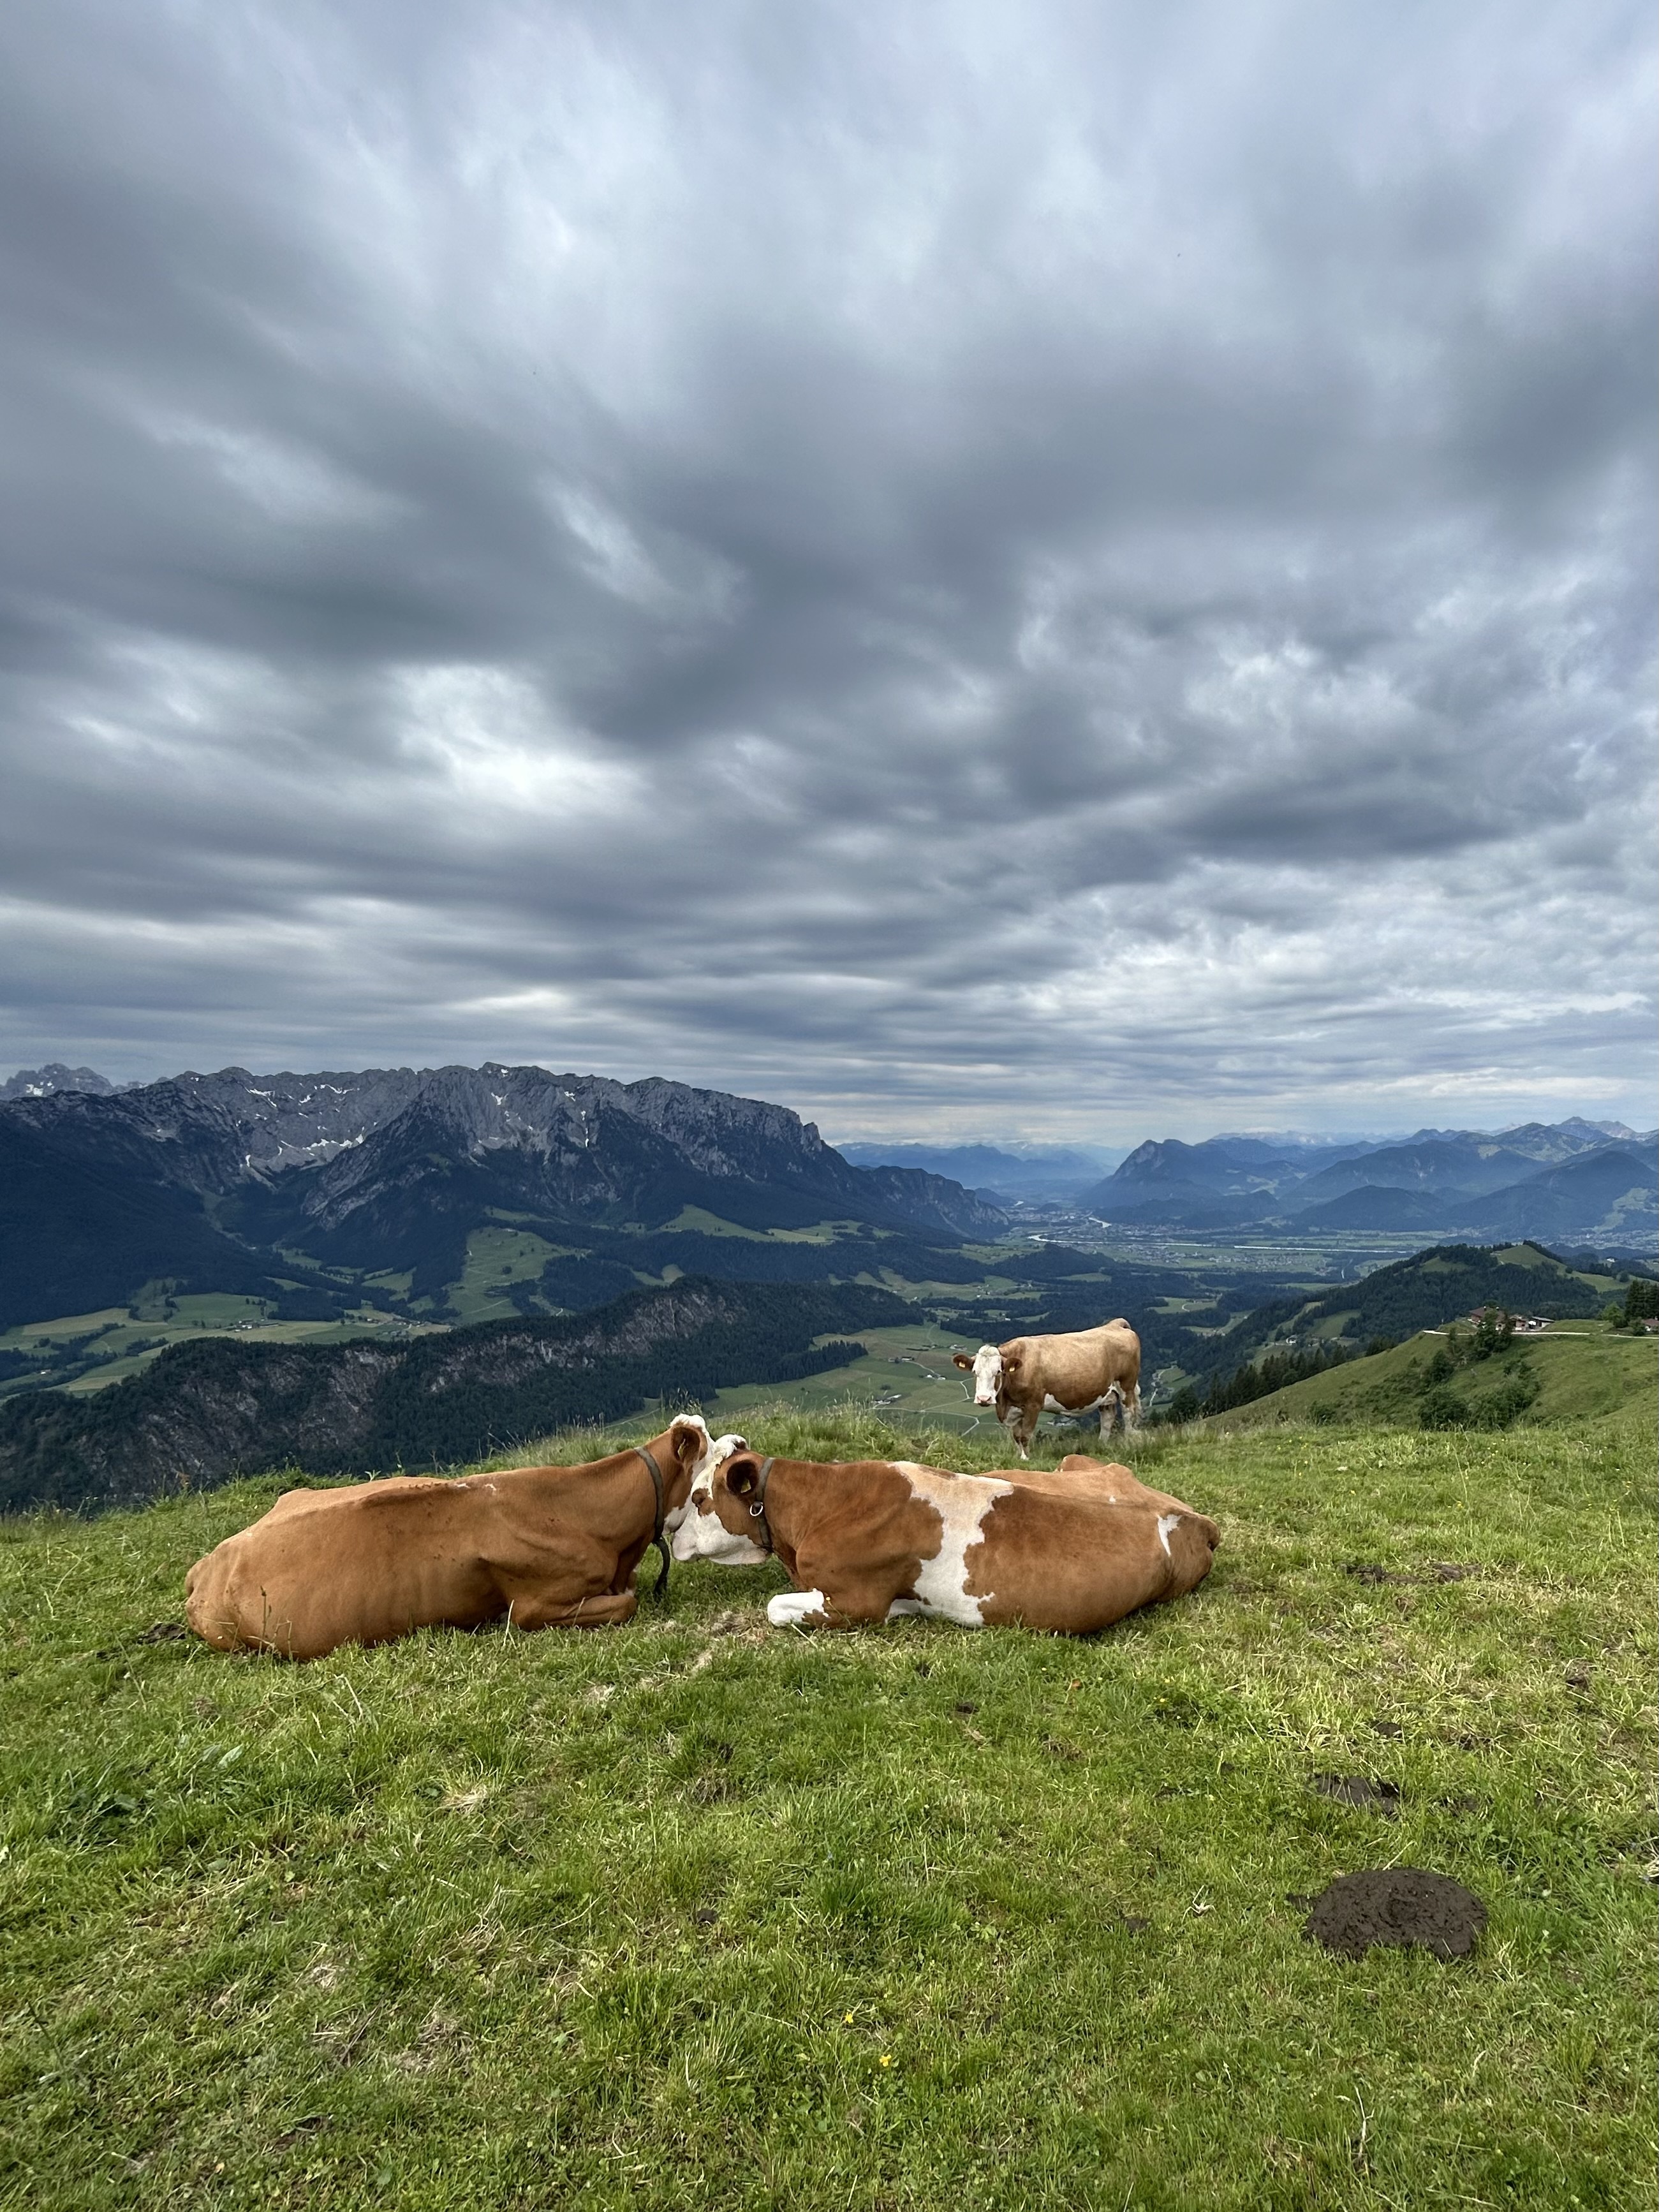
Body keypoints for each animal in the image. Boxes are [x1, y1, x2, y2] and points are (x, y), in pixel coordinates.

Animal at [952, 1320, 1141, 1458]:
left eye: (998, 1372)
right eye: (975, 1372)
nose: (984, 1399)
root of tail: (1115, 1324)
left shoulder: (1033, 1405)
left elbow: (1025, 1436)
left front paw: (1026, 1459)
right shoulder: (1015, 1409)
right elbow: (1016, 1436)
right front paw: (1019, 1457)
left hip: (1127, 1386)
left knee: (1128, 1414)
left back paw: (1127, 1444)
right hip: (1106, 1394)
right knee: (1108, 1418)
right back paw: (1101, 1445)